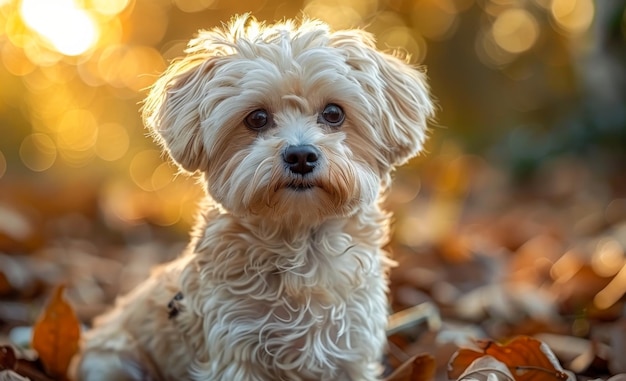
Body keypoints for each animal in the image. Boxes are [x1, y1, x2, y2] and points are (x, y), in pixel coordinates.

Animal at [73, 14, 432, 380]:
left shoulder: (351, 348)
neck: (300, 249)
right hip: (113, 361)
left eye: (334, 113)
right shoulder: (234, 345)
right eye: (257, 118)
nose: (301, 156)